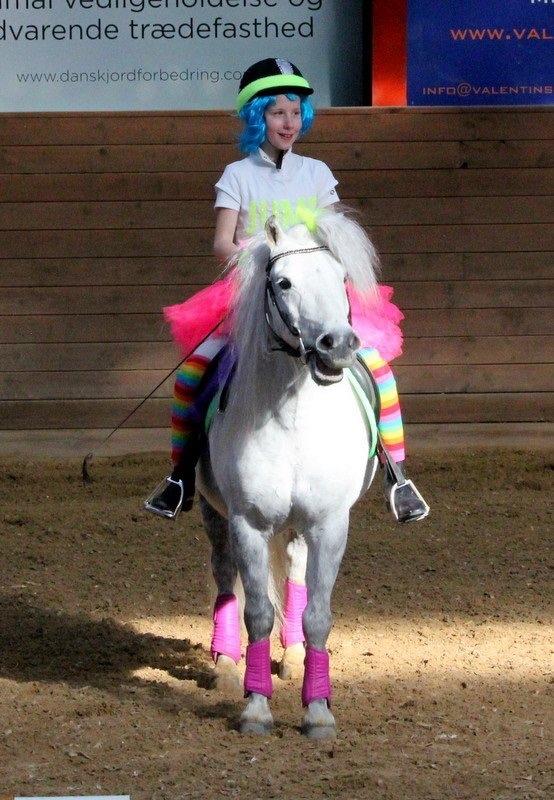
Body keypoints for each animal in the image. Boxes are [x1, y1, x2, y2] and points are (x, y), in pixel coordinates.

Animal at [195, 211, 380, 736]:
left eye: (341, 278)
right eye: (283, 282)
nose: (337, 346)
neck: (291, 415)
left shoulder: (329, 524)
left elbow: (319, 615)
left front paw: (318, 712)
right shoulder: (248, 523)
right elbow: (257, 612)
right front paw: (256, 708)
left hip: (300, 527)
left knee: (295, 574)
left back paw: (294, 658)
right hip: (213, 514)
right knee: (225, 577)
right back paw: (226, 665)